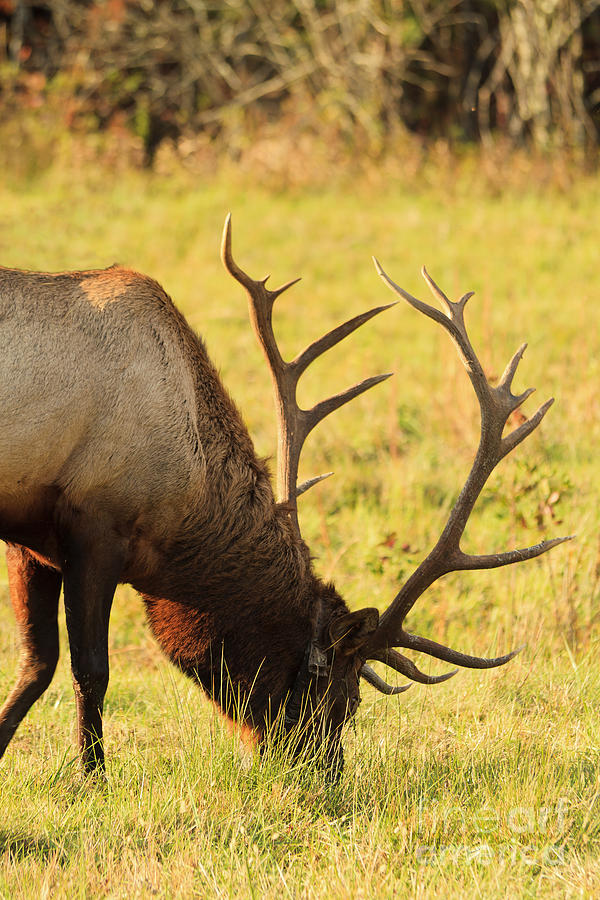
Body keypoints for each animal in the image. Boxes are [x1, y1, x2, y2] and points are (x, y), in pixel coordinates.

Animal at [0, 216, 568, 772]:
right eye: (342, 698)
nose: (327, 772)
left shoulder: (34, 541)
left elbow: (35, 665)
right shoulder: (97, 522)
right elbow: (89, 670)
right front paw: (93, 777)